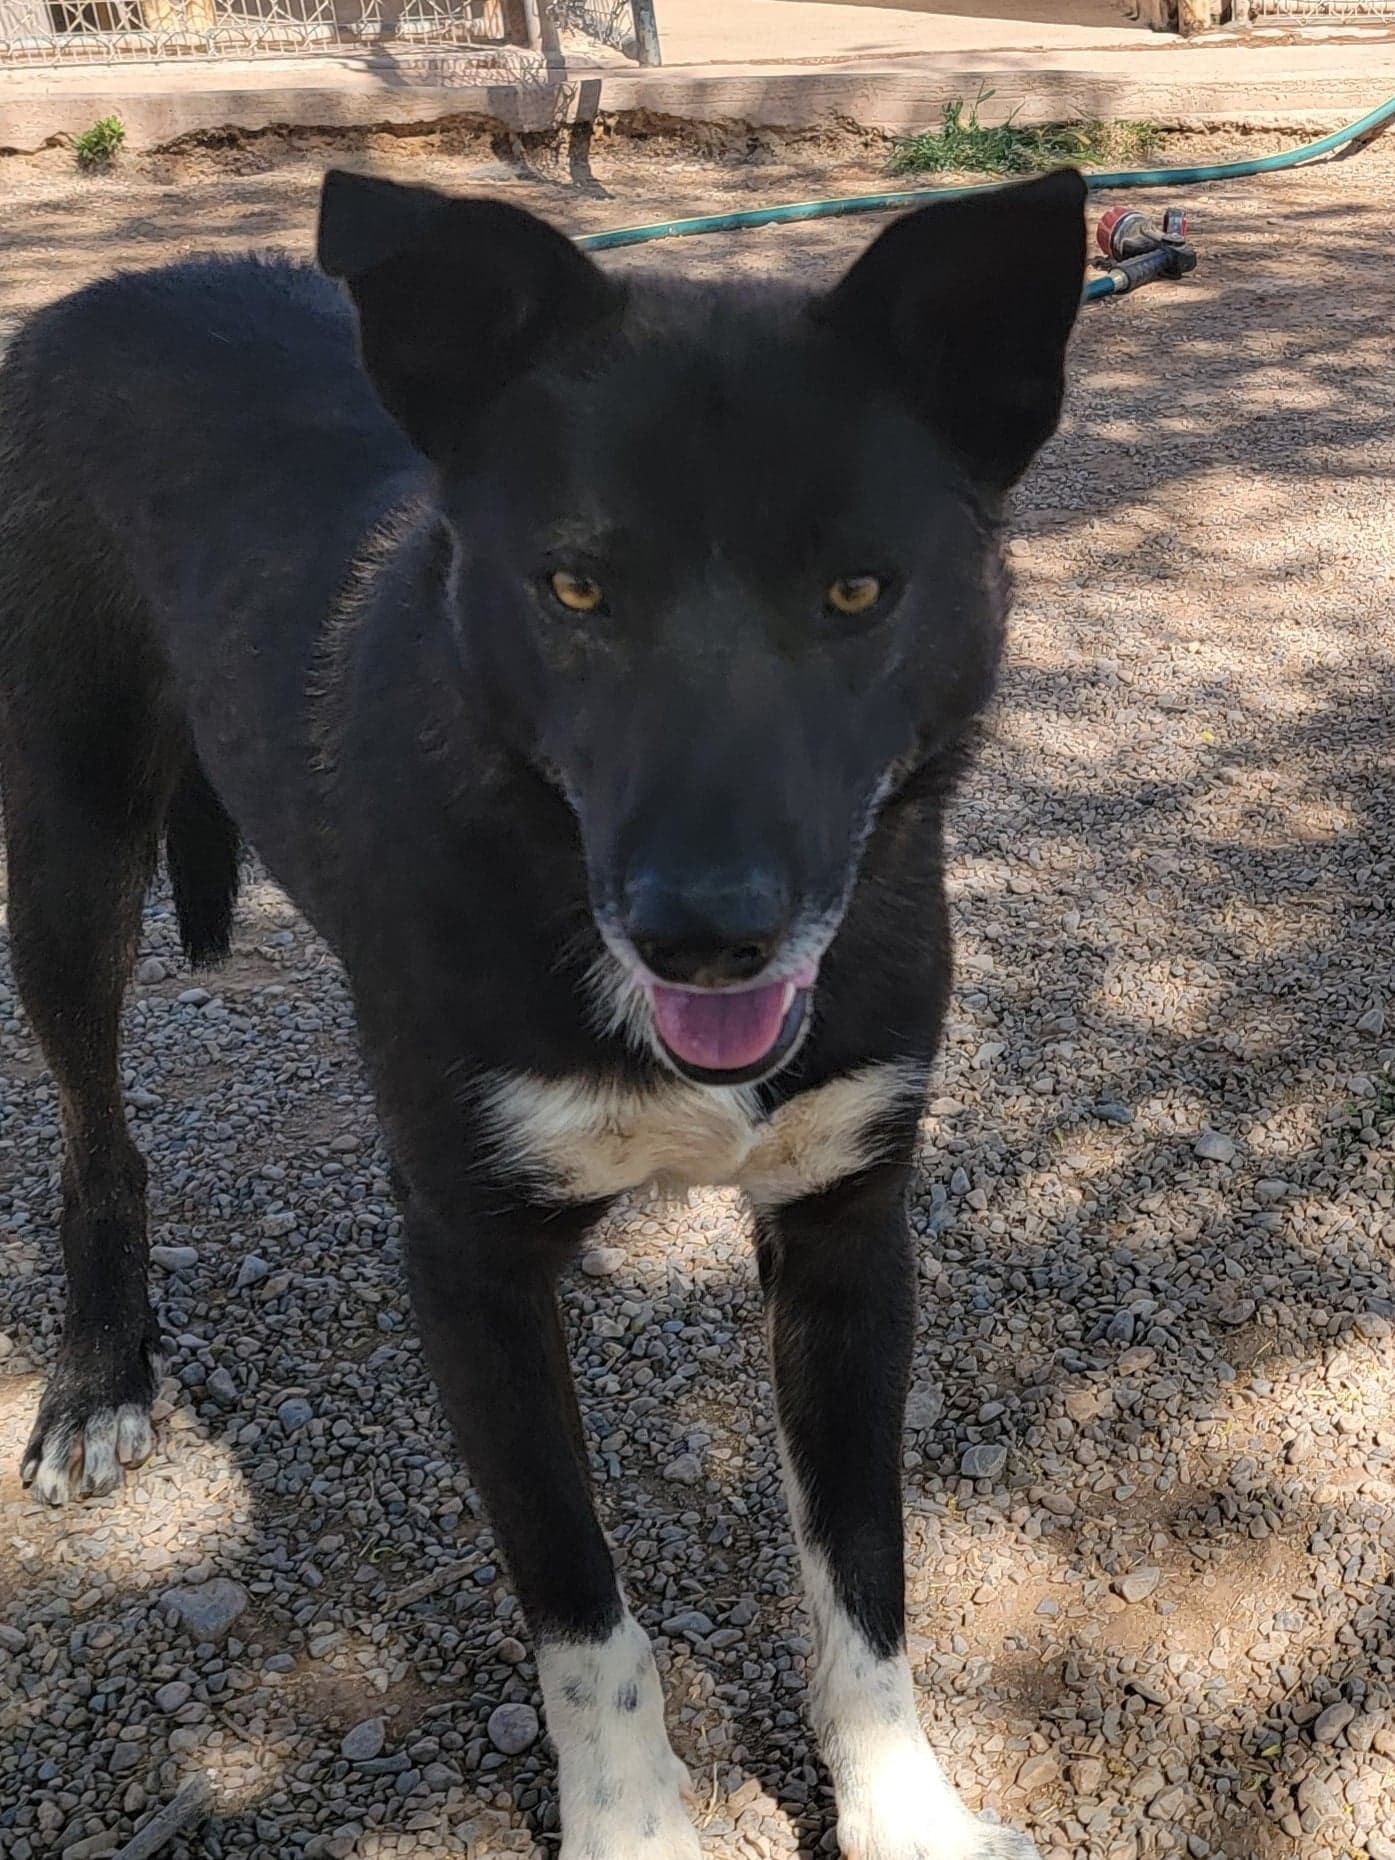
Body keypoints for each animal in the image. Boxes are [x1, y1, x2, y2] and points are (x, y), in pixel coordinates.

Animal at [0, 167, 1086, 1852]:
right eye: (574, 588)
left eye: (856, 590)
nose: (705, 935)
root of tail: (98, 293)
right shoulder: (472, 1266)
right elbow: (579, 1605)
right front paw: (633, 1822)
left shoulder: (849, 1226)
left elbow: (863, 1574)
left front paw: (900, 1805)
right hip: (67, 847)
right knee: (94, 1139)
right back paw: (101, 1380)